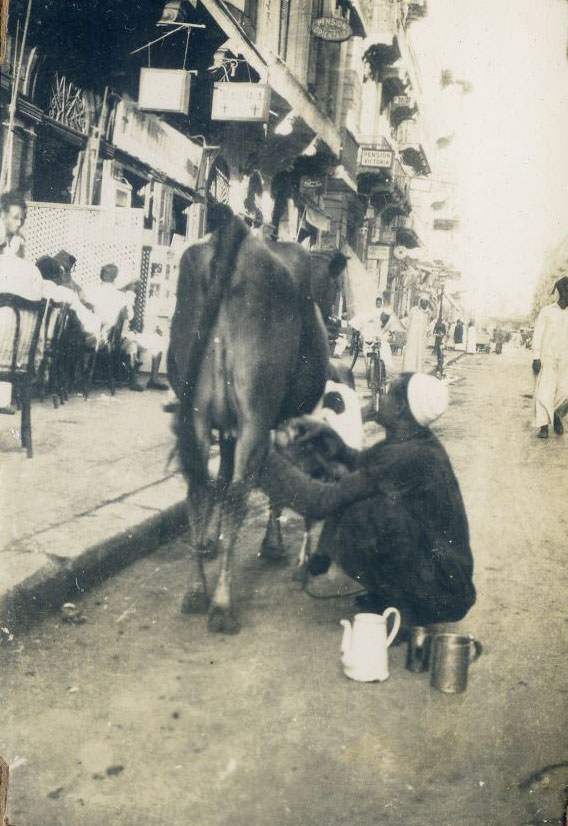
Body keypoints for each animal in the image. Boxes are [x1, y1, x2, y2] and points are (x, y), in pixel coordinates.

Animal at [169, 206, 346, 632]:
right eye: (335, 288)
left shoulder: (228, 427)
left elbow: (218, 477)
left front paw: (209, 539)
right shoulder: (275, 423)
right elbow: (273, 488)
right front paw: (272, 544)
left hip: (197, 414)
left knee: (198, 485)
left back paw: (196, 590)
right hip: (255, 413)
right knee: (238, 493)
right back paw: (221, 603)